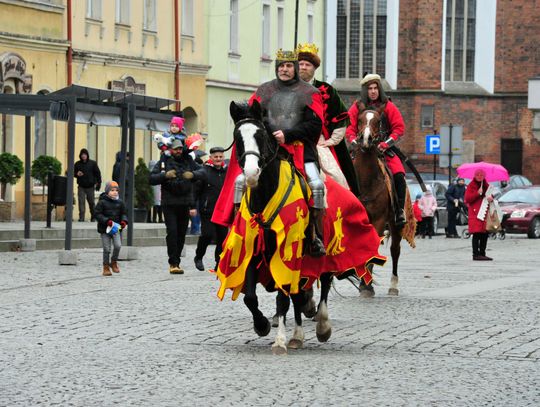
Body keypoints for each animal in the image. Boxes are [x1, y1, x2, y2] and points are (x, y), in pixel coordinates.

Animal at [350, 109, 410, 296]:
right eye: (360, 119)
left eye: (378, 121)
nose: (366, 139)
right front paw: (363, 282)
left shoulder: (378, 220)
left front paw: (367, 286)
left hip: (396, 224)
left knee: (395, 251)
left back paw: (393, 285)